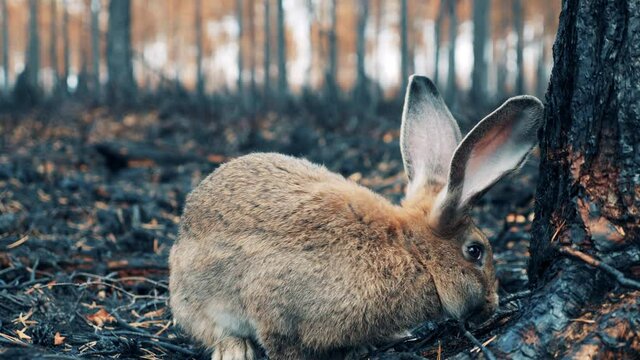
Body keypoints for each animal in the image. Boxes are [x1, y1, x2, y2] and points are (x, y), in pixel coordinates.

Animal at [168, 74, 544, 358]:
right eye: (475, 251)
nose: (492, 305)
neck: (412, 251)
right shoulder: (275, 305)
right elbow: (281, 344)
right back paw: (235, 350)